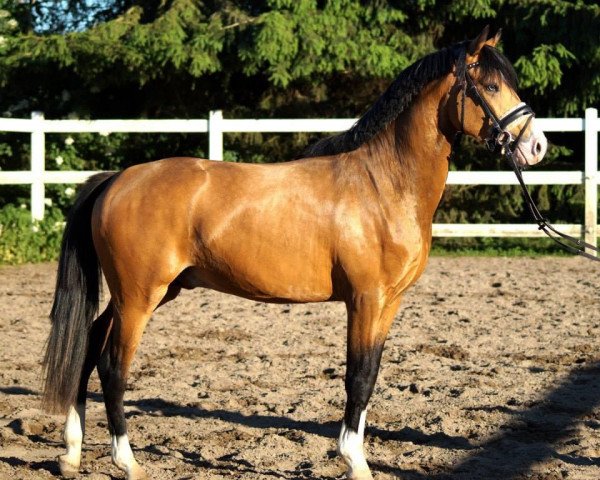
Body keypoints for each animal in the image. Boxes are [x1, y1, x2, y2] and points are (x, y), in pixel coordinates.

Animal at [42, 27, 548, 480]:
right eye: (490, 86)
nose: (536, 145)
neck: (382, 184)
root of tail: (116, 179)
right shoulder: (365, 300)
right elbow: (357, 376)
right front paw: (355, 462)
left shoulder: (389, 303)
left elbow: (371, 375)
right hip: (139, 297)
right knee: (112, 366)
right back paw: (126, 462)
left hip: (149, 294)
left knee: (89, 344)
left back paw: (71, 455)